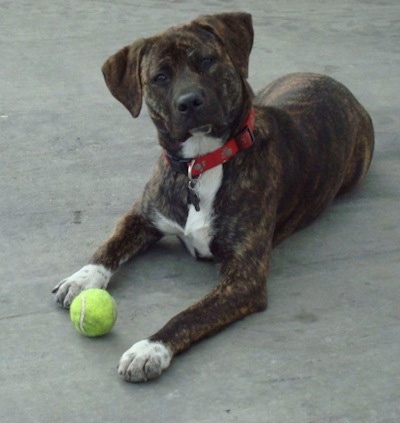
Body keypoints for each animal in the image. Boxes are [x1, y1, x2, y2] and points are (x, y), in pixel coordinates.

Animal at [51, 12, 374, 384]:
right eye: (160, 77)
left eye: (206, 61)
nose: (189, 101)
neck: (202, 163)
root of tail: (333, 82)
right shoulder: (143, 216)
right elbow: (110, 245)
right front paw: (82, 277)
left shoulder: (243, 278)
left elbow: (190, 315)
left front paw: (150, 348)